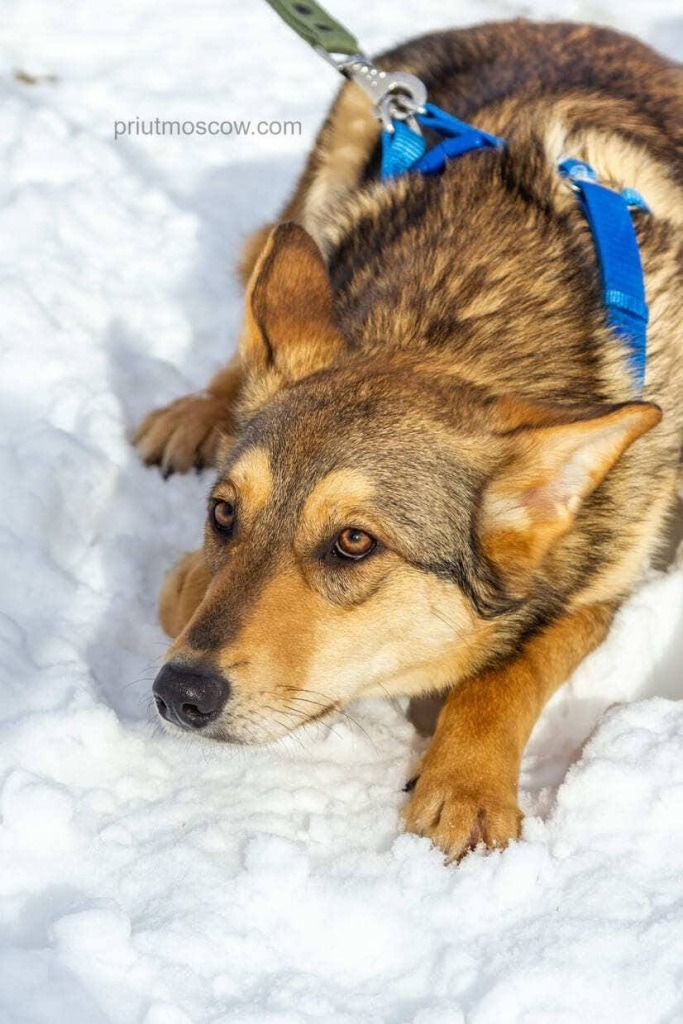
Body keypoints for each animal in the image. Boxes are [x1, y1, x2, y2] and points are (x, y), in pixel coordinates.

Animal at [135, 19, 683, 860]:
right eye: (223, 514)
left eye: (354, 543)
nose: (178, 694)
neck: (446, 323)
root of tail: (547, 21)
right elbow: (183, 593)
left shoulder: (605, 580)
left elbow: (507, 672)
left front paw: (464, 786)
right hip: (332, 167)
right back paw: (193, 414)